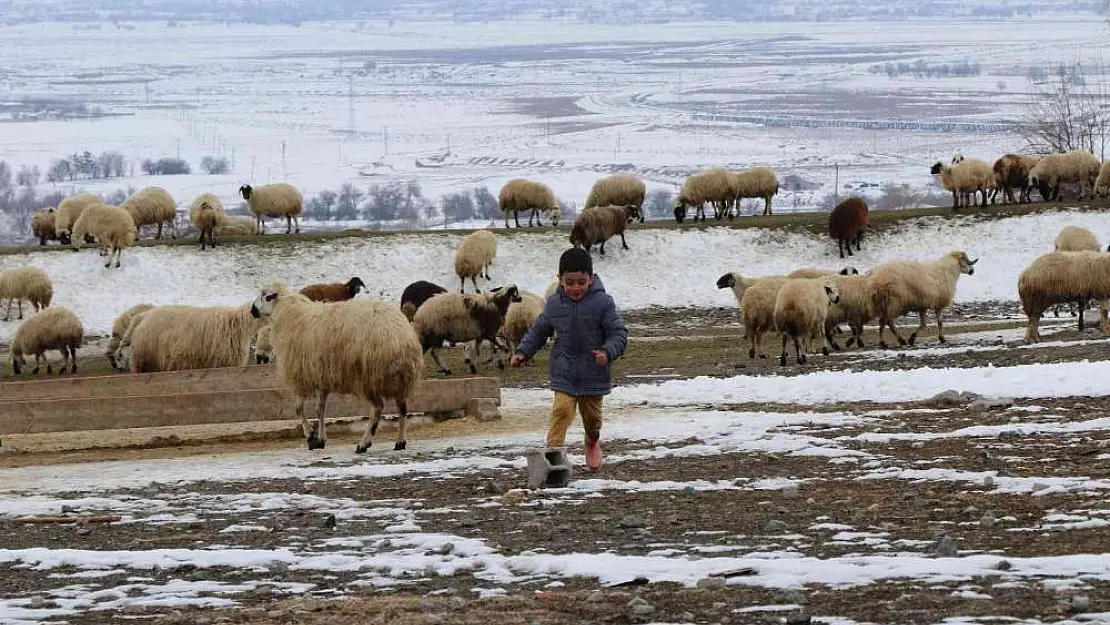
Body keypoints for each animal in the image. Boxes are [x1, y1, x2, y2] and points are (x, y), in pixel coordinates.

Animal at [251, 280, 424, 452]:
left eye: (266, 296)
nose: (252, 310)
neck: (288, 312)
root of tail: (401, 337)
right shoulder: (321, 376)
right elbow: (320, 409)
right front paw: (320, 439)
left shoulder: (301, 377)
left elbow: (298, 408)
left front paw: (310, 436)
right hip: (400, 379)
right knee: (402, 408)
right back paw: (400, 442)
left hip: (367, 378)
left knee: (378, 408)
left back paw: (364, 443)